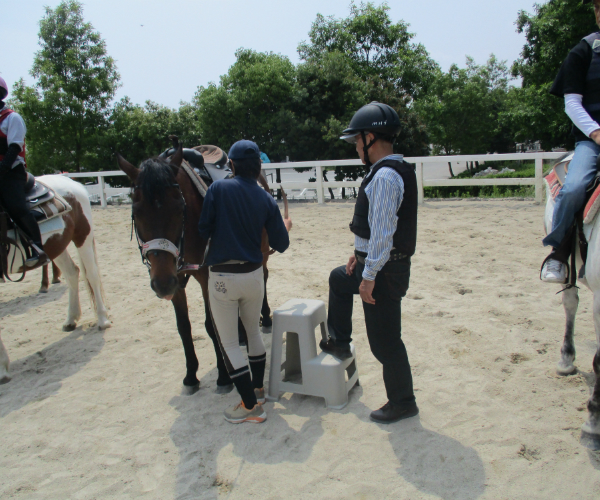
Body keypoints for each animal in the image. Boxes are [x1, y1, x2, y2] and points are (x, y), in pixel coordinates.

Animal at [0, 174, 110, 384]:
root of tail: (70, 181)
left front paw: (2, 369)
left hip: (82, 235)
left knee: (91, 274)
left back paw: (102, 319)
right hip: (56, 246)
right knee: (72, 272)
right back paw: (71, 319)